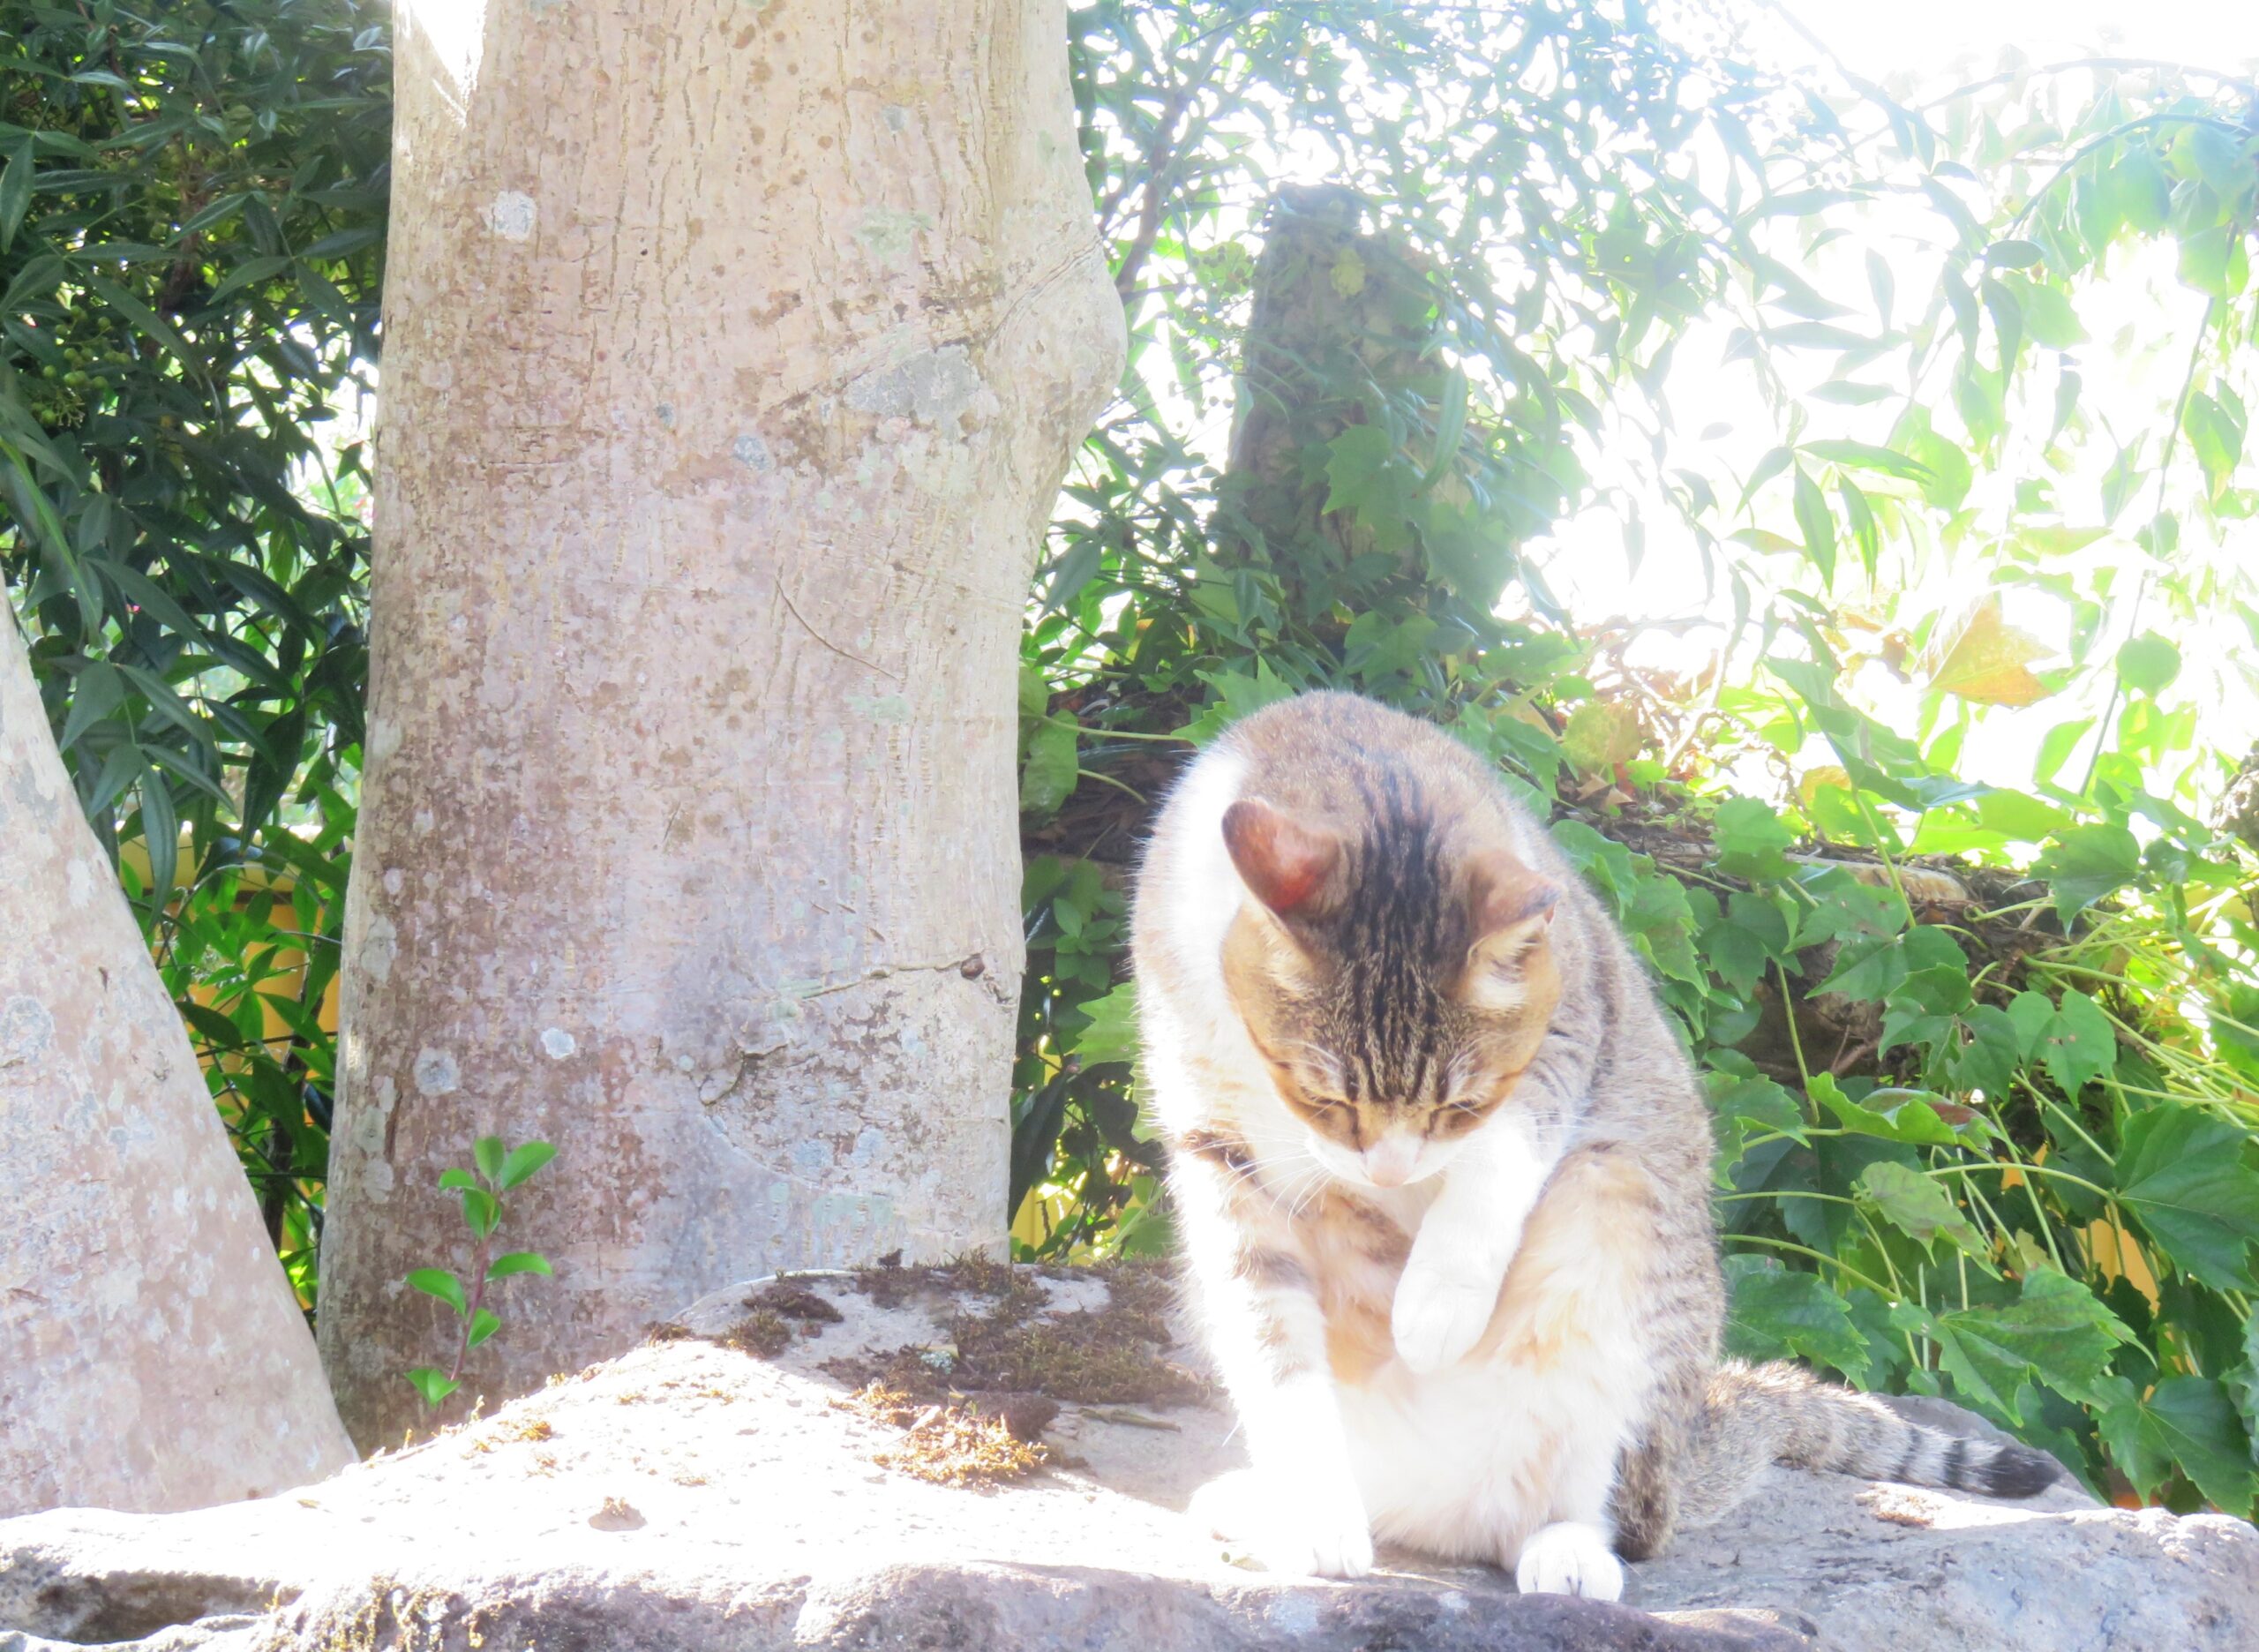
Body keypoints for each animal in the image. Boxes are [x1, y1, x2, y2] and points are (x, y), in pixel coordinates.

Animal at [1130, 691, 2068, 1600]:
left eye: (1464, 1102)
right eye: (1323, 1098)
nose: (1390, 1170)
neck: (1361, 761)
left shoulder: (1574, 1018)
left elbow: (1504, 1153)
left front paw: (1434, 1311)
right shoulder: (1218, 1150)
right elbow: (1276, 1361)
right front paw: (1316, 1517)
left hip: (1620, 1219)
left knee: (1606, 1512)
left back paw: (1567, 1550)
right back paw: (1263, 1506)